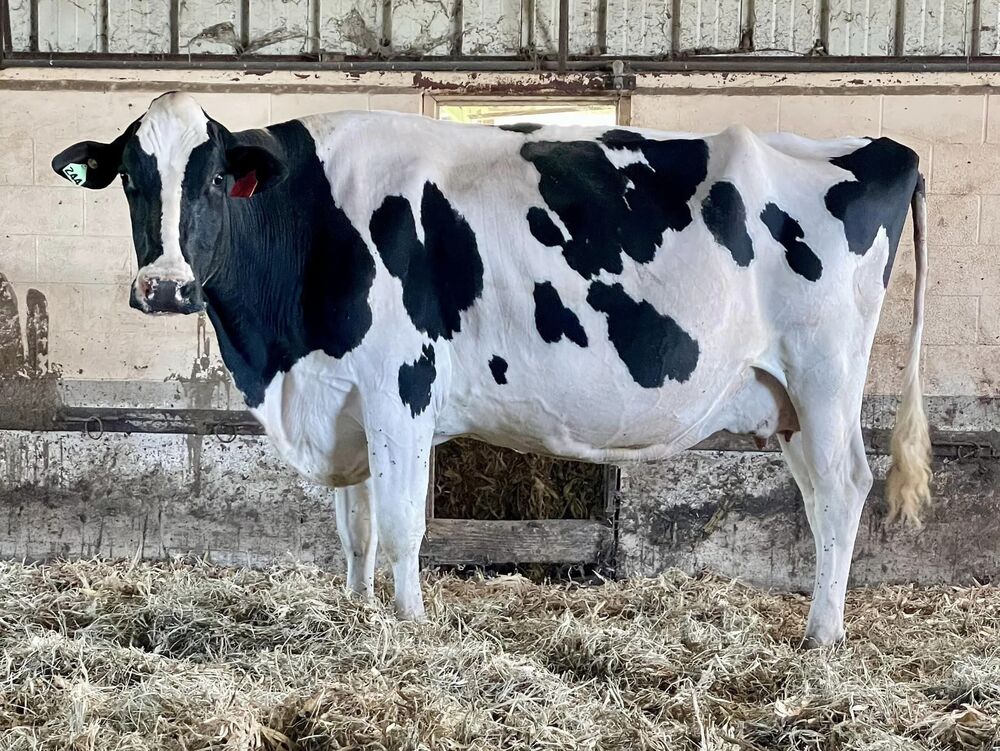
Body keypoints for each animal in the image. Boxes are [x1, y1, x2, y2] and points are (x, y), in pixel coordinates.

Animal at [52, 92, 931, 647]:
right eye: (133, 179)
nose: (164, 287)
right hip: (787, 398)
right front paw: (357, 610)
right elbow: (354, 530)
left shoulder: (398, 383)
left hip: (825, 372)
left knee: (846, 485)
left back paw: (823, 635)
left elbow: (401, 524)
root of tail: (881, 148)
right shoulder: (341, 399)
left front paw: (408, 626)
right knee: (821, 497)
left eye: (210, 177)